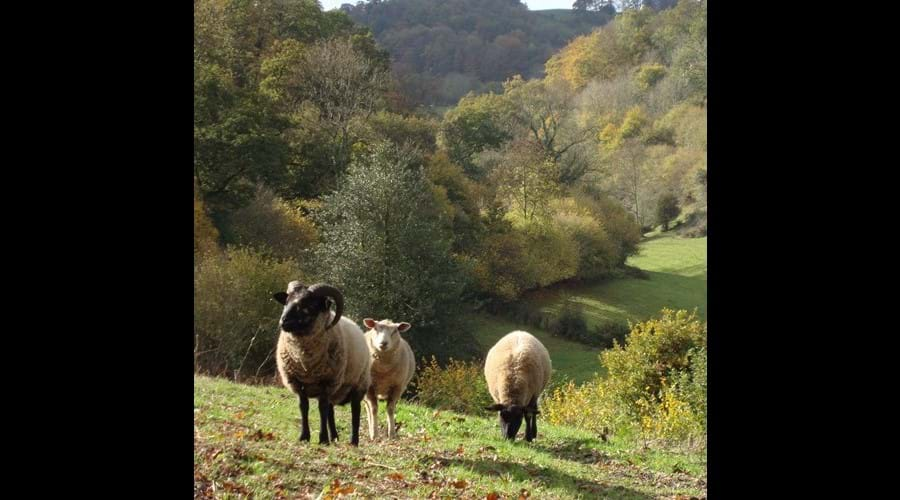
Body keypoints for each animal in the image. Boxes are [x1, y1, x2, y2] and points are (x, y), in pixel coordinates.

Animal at [274, 280, 372, 448]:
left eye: (309, 305)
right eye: (286, 302)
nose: (283, 322)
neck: (306, 361)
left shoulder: (327, 381)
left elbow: (322, 408)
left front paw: (323, 439)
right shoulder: (297, 382)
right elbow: (304, 407)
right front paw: (304, 437)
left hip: (359, 384)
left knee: (355, 411)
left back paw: (353, 441)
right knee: (331, 411)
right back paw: (334, 437)